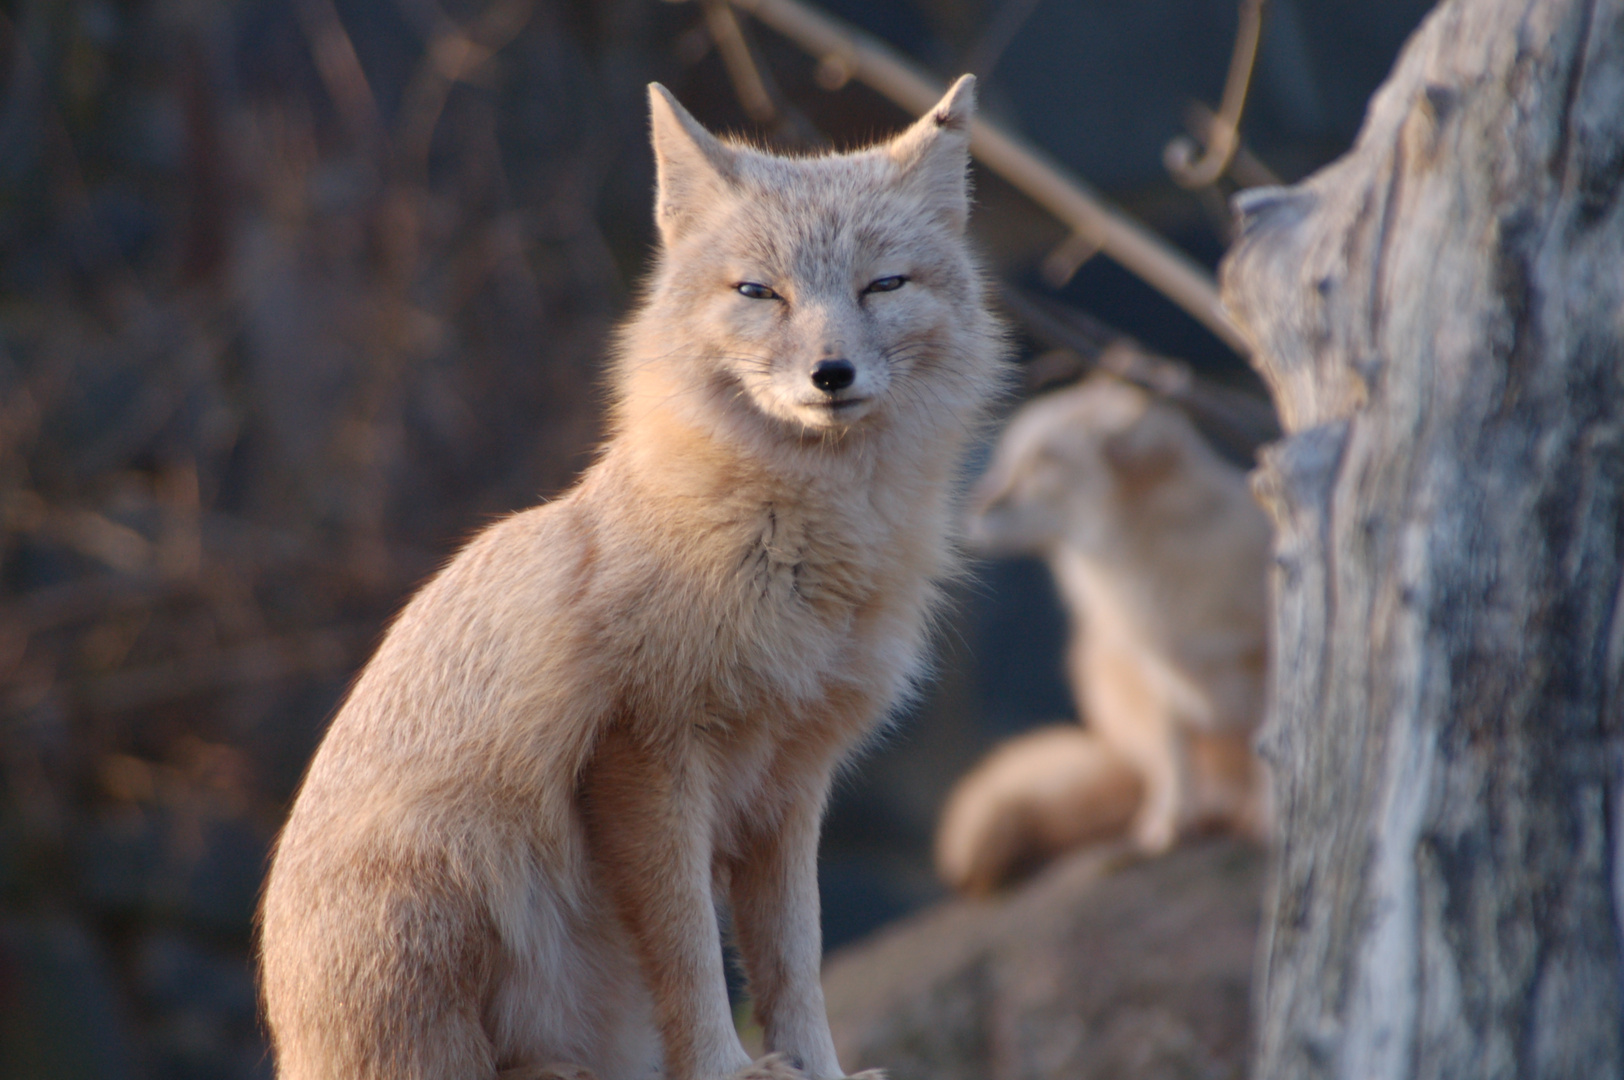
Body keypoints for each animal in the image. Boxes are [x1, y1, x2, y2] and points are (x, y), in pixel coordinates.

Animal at [256, 77, 1000, 1078]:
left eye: (884, 285)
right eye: (759, 292)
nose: (830, 373)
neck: (797, 564)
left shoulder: (791, 782)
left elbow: (794, 959)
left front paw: (820, 1070)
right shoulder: (647, 757)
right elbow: (690, 953)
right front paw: (727, 1070)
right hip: (460, 873)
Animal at [941, 373, 1266, 889]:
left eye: (1045, 462)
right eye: (1007, 459)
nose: (973, 503)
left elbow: (1272, 755)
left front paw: (1268, 817)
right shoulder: (1152, 675)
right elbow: (1173, 759)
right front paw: (1168, 826)